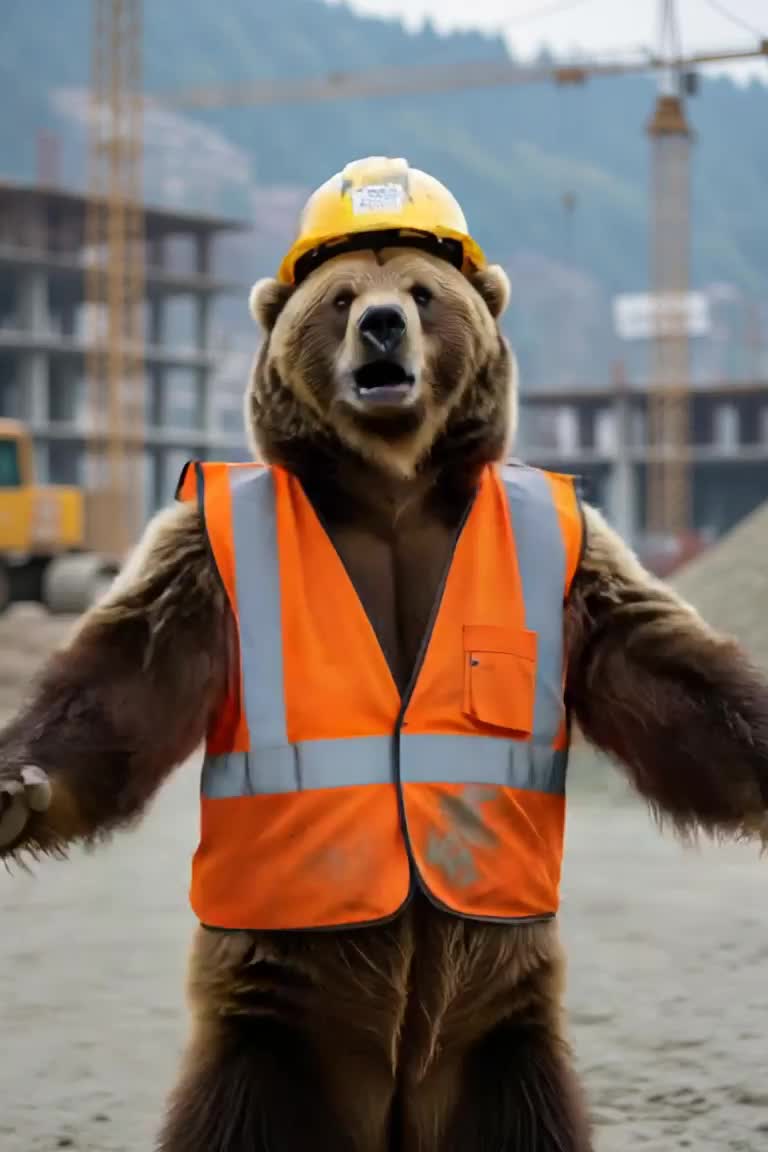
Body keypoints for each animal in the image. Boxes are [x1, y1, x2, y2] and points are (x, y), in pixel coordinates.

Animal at [1, 157, 768, 1152]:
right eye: (338, 296)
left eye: (421, 291)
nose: (380, 326)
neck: (392, 486)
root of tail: (395, 1103)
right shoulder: (201, 563)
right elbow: (128, 674)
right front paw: (20, 787)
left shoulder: (576, 568)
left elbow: (659, 668)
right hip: (277, 1038)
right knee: (240, 1113)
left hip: (500, 1046)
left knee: (525, 1116)